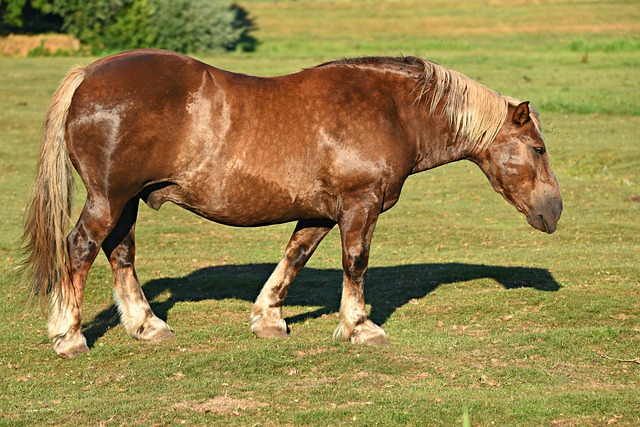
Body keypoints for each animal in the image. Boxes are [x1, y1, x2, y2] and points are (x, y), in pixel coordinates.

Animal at [21, 48, 560, 360]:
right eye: (538, 149)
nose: (554, 211)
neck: (392, 109)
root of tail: (91, 73)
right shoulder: (358, 207)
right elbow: (355, 263)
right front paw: (359, 327)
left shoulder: (320, 213)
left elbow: (293, 258)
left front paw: (268, 318)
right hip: (109, 198)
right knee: (81, 248)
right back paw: (69, 336)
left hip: (127, 200)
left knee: (120, 254)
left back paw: (146, 325)